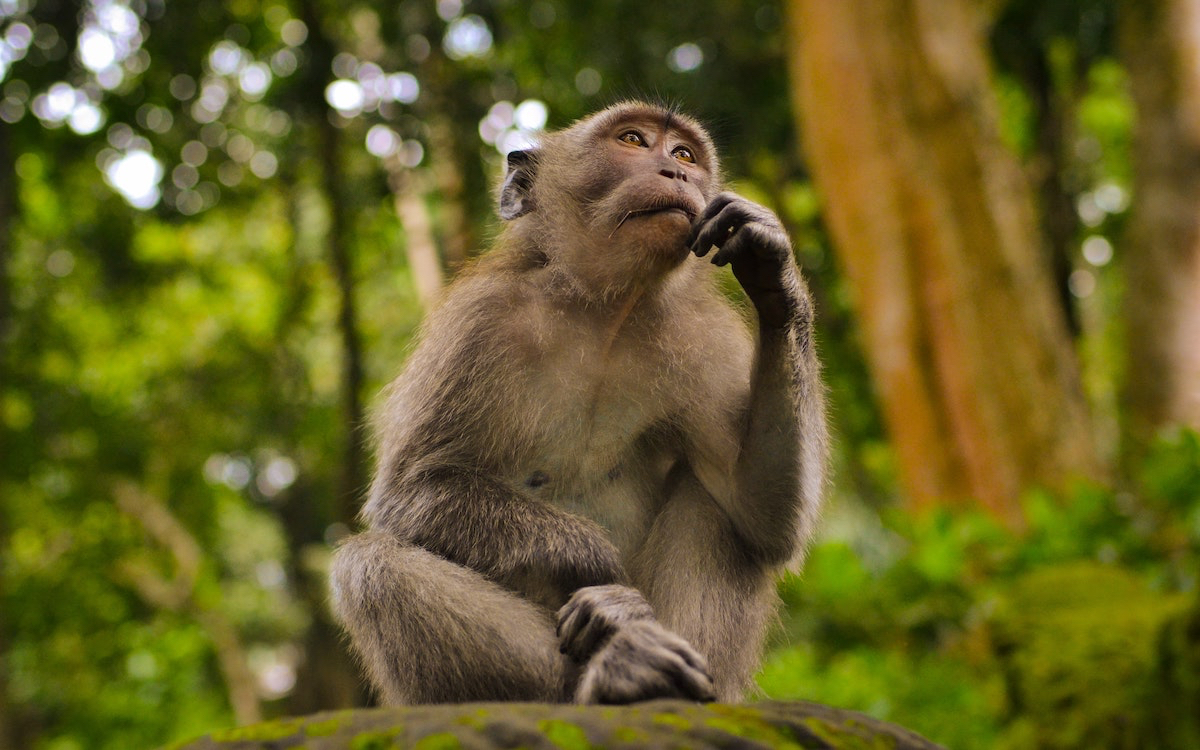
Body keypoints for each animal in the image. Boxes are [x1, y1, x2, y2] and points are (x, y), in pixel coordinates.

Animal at [333, 99, 830, 700]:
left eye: (685, 154)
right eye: (634, 141)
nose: (677, 172)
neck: (603, 312)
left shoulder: (704, 340)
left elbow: (762, 514)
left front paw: (771, 264)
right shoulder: (478, 323)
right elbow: (410, 492)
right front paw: (603, 571)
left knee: (714, 503)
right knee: (370, 565)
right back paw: (617, 667)